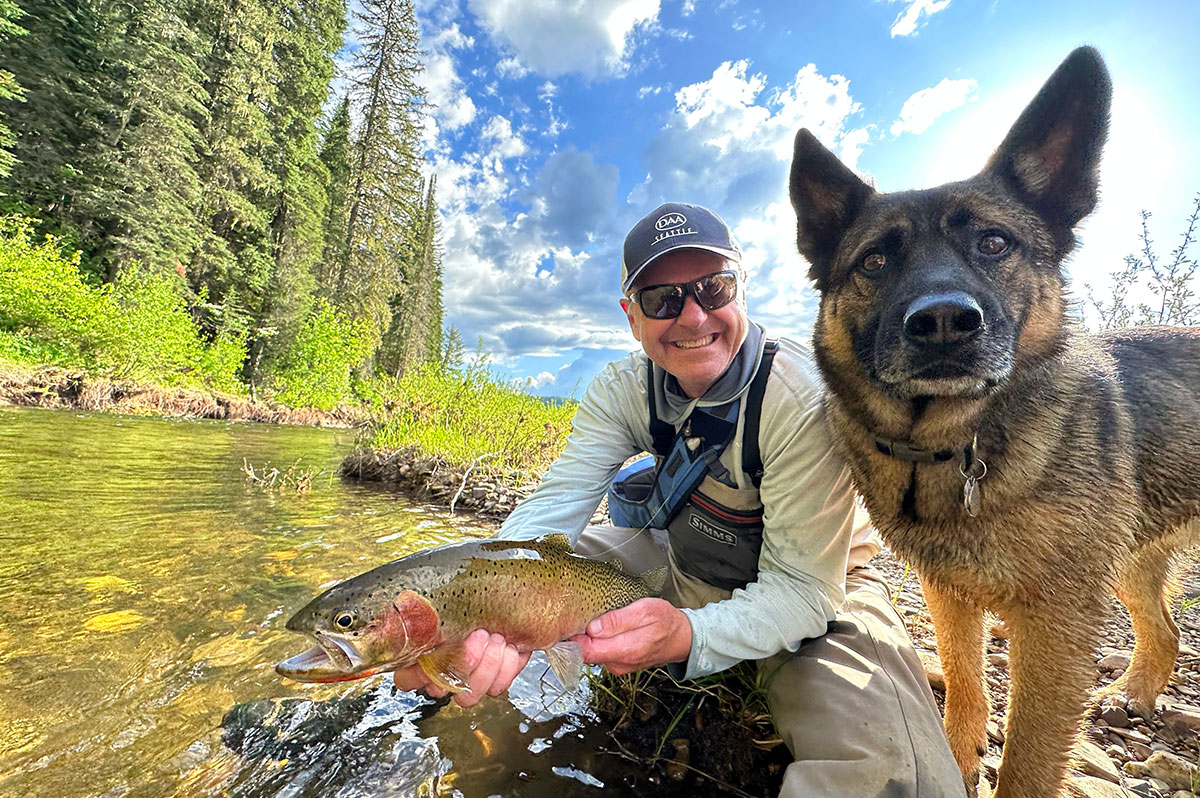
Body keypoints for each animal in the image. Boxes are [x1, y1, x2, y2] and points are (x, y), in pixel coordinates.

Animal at [787, 46, 1200, 792]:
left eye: (994, 242)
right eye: (875, 259)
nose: (945, 322)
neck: (950, 448)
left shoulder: (1058, 627)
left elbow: (1028, 763)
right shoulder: (949, 591)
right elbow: (965, 686)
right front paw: (957, 759)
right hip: (1132, 558)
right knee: (1165, 628)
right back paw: (1132, 692)